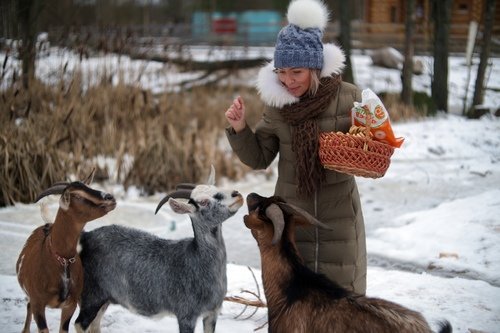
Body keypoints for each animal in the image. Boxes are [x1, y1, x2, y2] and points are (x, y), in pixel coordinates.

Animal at [15, 171, 117, 332]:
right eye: (78, 196)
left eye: (89, 187)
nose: (110, 197)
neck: (61, 259)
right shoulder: (38, 303)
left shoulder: (71, 304)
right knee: (29, 305)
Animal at [74, 169, 244, 332]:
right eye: (203, 202)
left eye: (216, 189)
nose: (237, 195)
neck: (197, 259)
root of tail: (86, 238)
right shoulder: (186, 314)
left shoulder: (211, 314)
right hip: (92, 294)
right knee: (80, 324)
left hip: (104, 299)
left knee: (94, 324)